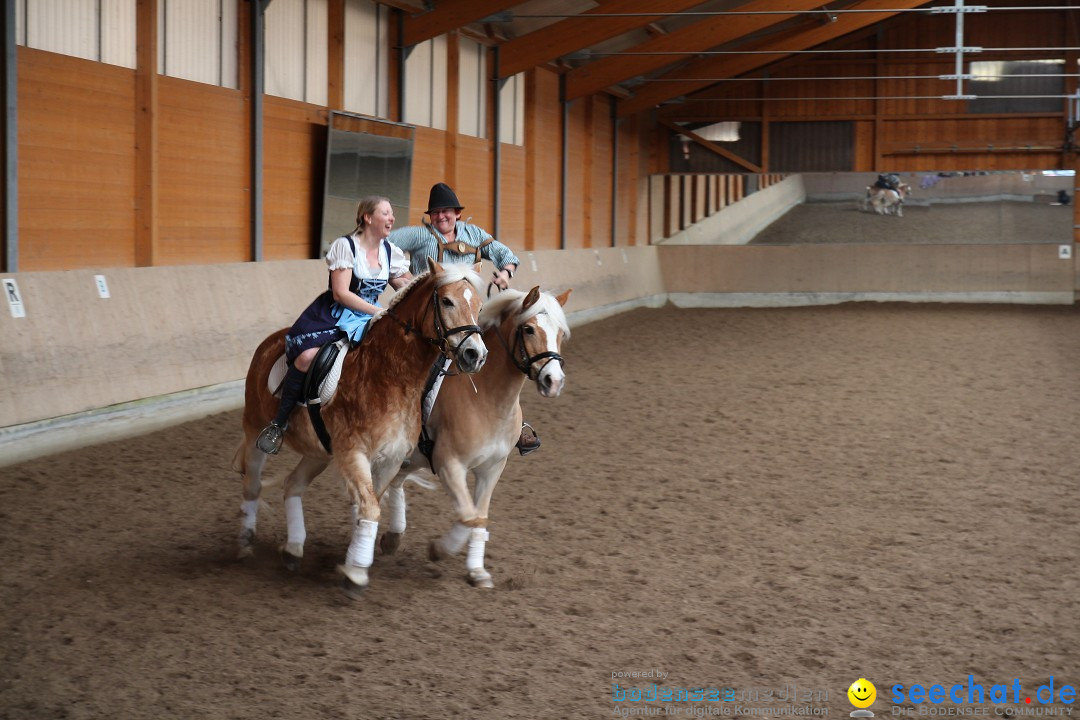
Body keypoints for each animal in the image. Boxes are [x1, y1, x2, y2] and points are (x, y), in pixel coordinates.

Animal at [238, 259, 492, 595]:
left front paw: (353, 560)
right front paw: (356, 573)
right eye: (448, 302)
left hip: (318, 452)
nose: (475, 355)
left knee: (293, 484)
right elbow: (369, 508)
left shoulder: (390, 459)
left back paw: (293, 549)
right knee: (252, 484)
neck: (390, 377)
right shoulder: (353, 452)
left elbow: (369, 506)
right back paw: (245, 543)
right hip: (255, 428)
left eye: (478, 306)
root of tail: (269, 342)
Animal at [375, 287, 570, 591]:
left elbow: (479, 517)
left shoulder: (492, 468)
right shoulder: (449, 464)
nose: (554, 381)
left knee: (395, 482)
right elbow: (467, 516)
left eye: (560, 332)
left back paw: (392, 538)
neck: (487, 400)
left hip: (410, 458)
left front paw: (477, 572)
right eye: (528, 329)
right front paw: (439, 550)